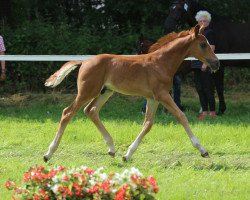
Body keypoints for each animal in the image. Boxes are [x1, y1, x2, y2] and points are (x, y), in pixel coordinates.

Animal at [44, 25, 220, 162]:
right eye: (203, 44)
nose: (216, 63)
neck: (161, 63)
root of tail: (84, 61)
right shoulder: (163, 95)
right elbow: (181, 116)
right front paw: (203, 150)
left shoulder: (153, 98)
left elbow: (148, 124)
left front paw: (127, 155)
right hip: (88, 91)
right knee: (67, 113)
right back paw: (48, 154)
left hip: (105, 92)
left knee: (91, 110)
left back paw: (112, 149)